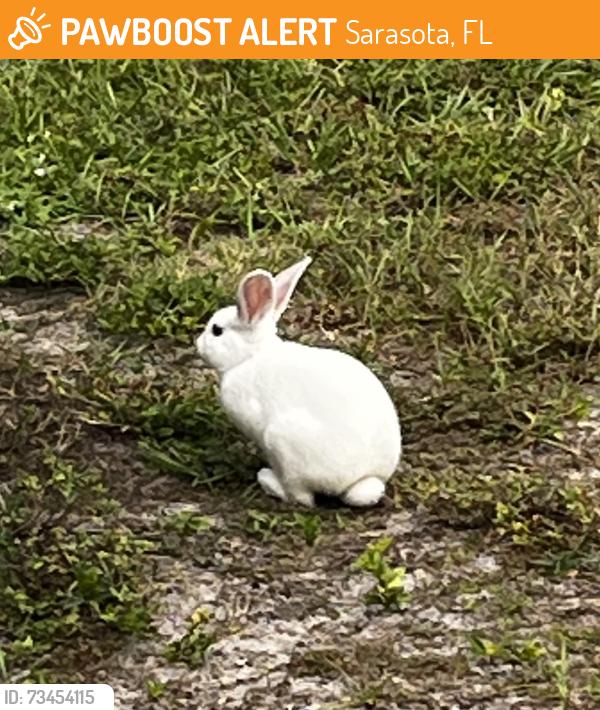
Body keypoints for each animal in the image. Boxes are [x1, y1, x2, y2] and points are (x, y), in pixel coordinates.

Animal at [195, 256, 401, 507]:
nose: (198, 344)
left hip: (283, 445)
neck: (250, 356)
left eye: (217, 331)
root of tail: (362, 479)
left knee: (301, 497)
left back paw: (268, 480)